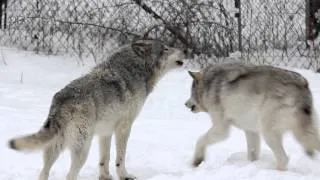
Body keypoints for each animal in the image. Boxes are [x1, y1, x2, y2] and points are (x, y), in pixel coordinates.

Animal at [7, 39, 185, 180]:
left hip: (56, 147)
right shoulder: (124, 128)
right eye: (166, 48)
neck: (136, 71)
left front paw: (105, 177)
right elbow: (120, 158)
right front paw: (125, 176)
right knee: (70, 175)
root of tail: (61, 99)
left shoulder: (105, 132)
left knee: (44, 173)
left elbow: (104, 159)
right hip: (82, 148)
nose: (184, 51)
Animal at [184, 64, 320, 171]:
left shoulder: (221, 129)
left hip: (269, 134)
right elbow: (252, 154)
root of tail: (302, 85)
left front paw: (197, 161)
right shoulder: (251, 131)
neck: (210, 84)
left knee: (284, 159)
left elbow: (200, 139)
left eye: (191, 92)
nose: (185, 104)